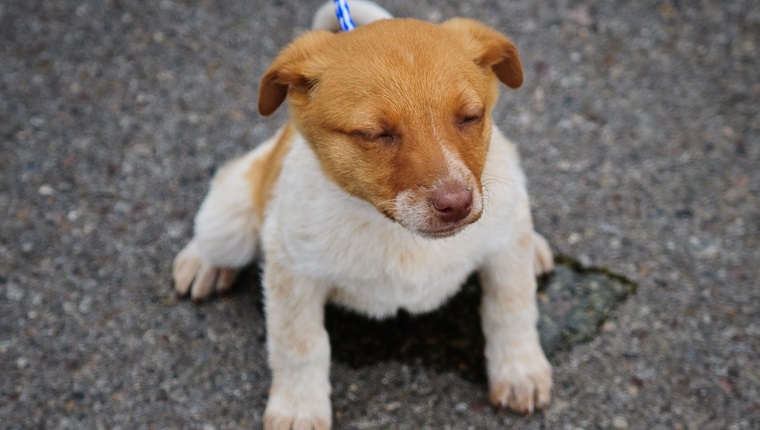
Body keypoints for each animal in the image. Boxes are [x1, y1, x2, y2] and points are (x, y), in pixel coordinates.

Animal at [172, 1, 552, 428]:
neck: (397, 232)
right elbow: (299, 345)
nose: (456, 204)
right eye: (375, 134)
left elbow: (511, 308)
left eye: (470, 116)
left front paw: (519, 371)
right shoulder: (291, 271)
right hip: (230, 221)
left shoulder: (504, 246)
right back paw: (202, 263)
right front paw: (299, 407)